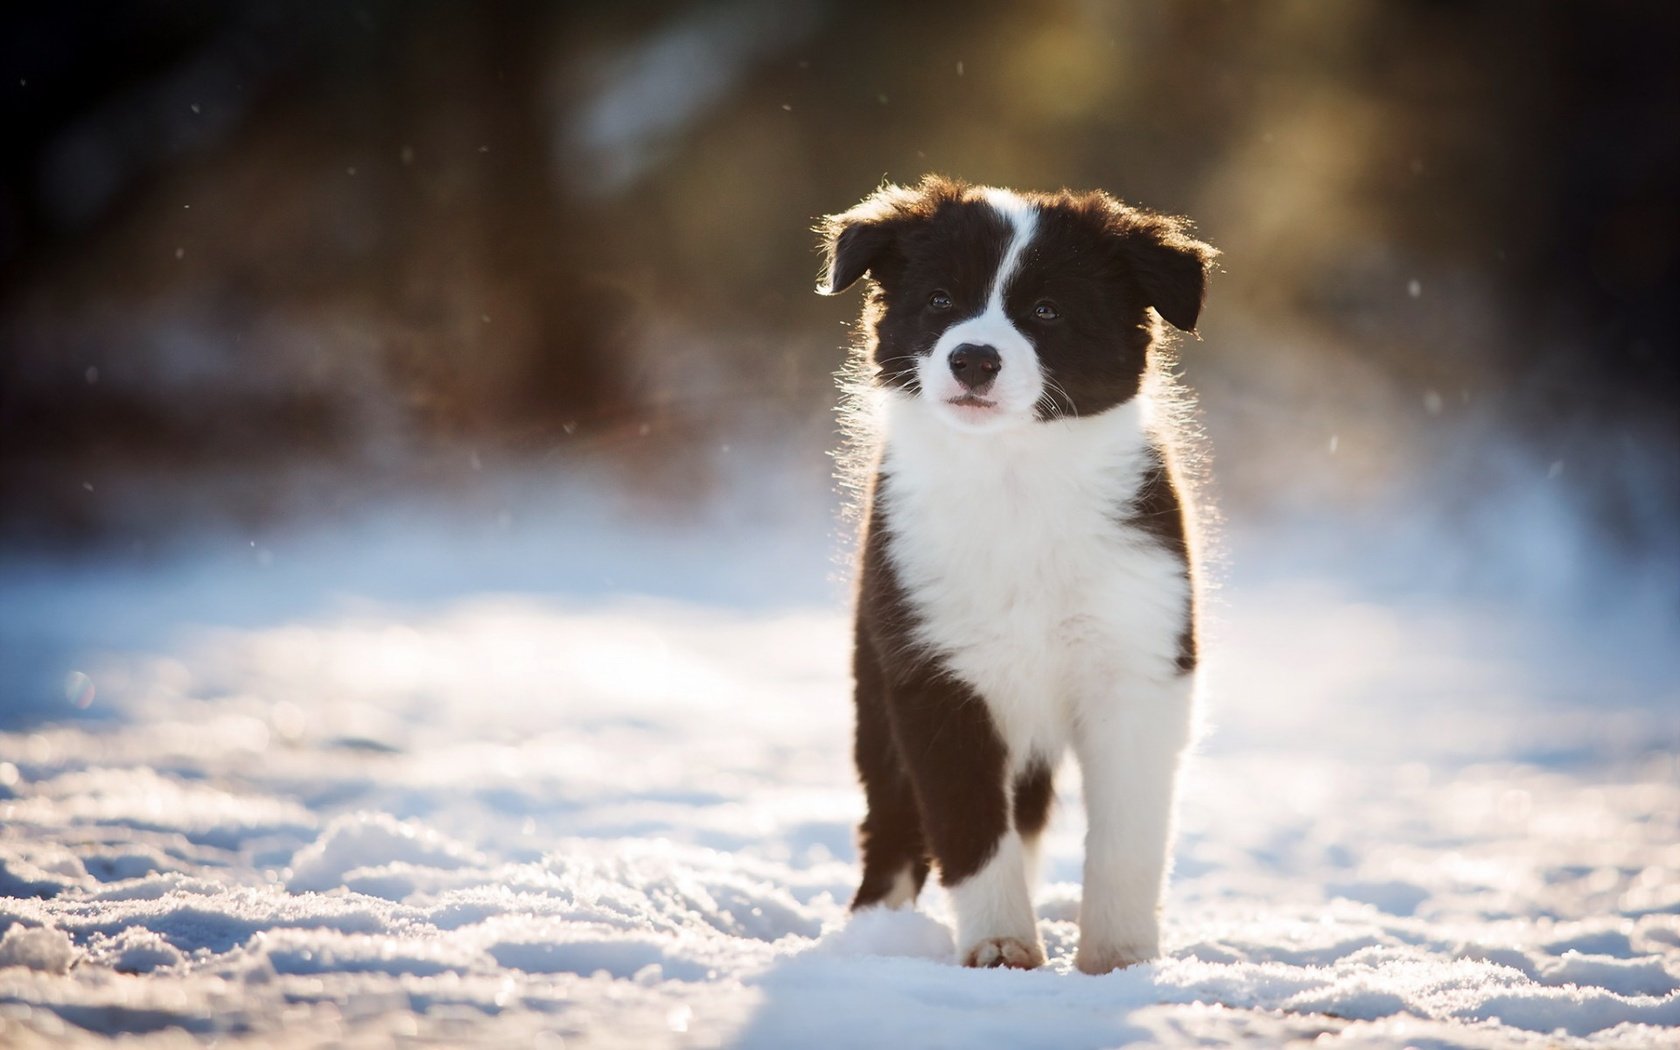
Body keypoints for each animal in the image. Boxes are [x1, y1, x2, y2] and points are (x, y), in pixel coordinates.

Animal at [813, 173, 1209, 974]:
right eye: (939, 299)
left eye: (1047, 310)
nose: (973, 359)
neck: (1014, 477)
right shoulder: (934, 672)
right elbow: (967, 824)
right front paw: (999, 945)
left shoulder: (1140, 661)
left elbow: (1127, 840)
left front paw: (1118, 959)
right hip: (875, 681)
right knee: (893, 822)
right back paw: (876, 936)